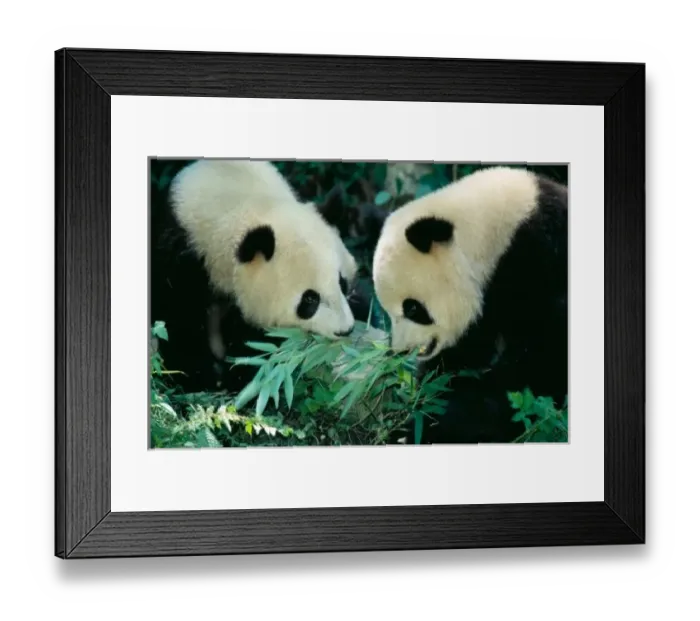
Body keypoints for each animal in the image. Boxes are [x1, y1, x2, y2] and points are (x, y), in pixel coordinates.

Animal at [150, 159, 367, 394]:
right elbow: (179, 322)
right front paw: (205, 378)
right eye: (310, 299)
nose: (345, 330)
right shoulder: (181, 258)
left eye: (342, 283)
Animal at [371, 166, 568, 444]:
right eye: (387, 312)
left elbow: (539, 367)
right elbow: (465, 351)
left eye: (412, 308)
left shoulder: (541, 267)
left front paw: (428, 426)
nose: (400, 350)